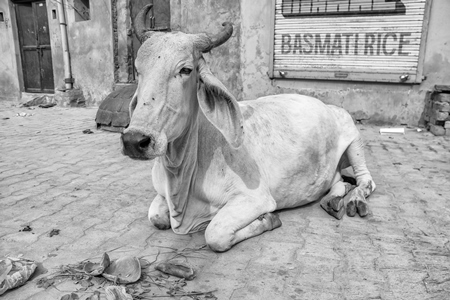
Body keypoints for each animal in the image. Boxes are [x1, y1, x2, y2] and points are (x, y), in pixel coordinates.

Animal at [120, 5, 376, 252]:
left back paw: (354, 200)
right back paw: (332, 201)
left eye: (185, 70)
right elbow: (156, 217)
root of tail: (326, 105)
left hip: (353, 136)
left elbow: (215, 234)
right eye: (138, 69)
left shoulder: (255, 199)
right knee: (338, 181)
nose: (134, 140)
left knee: (366, 181)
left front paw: (268, 220)